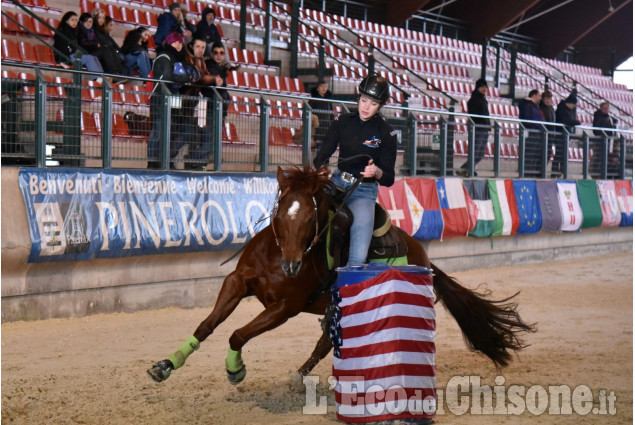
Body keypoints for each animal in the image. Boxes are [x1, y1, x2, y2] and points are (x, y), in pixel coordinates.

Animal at [150, 166, 536, 384]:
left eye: (311, 218)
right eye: (280, 212)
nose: (292, 266)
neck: (277, 258)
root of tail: (423, 257)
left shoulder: (284, 308)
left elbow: (236, 334)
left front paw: (235, 371)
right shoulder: (236, 282)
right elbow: (207, 325)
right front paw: (166, 364)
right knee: (326, 342)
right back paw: (298, 377)